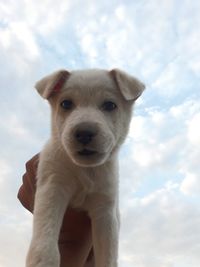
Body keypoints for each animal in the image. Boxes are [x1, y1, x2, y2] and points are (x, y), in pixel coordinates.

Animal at [26, 69, 145, 267]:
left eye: (110, 105)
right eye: (66, 103)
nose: (84, 132)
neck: (85, 170)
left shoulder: (106, 210)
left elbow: (107, 256)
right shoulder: (52, 186)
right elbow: (46, 244)